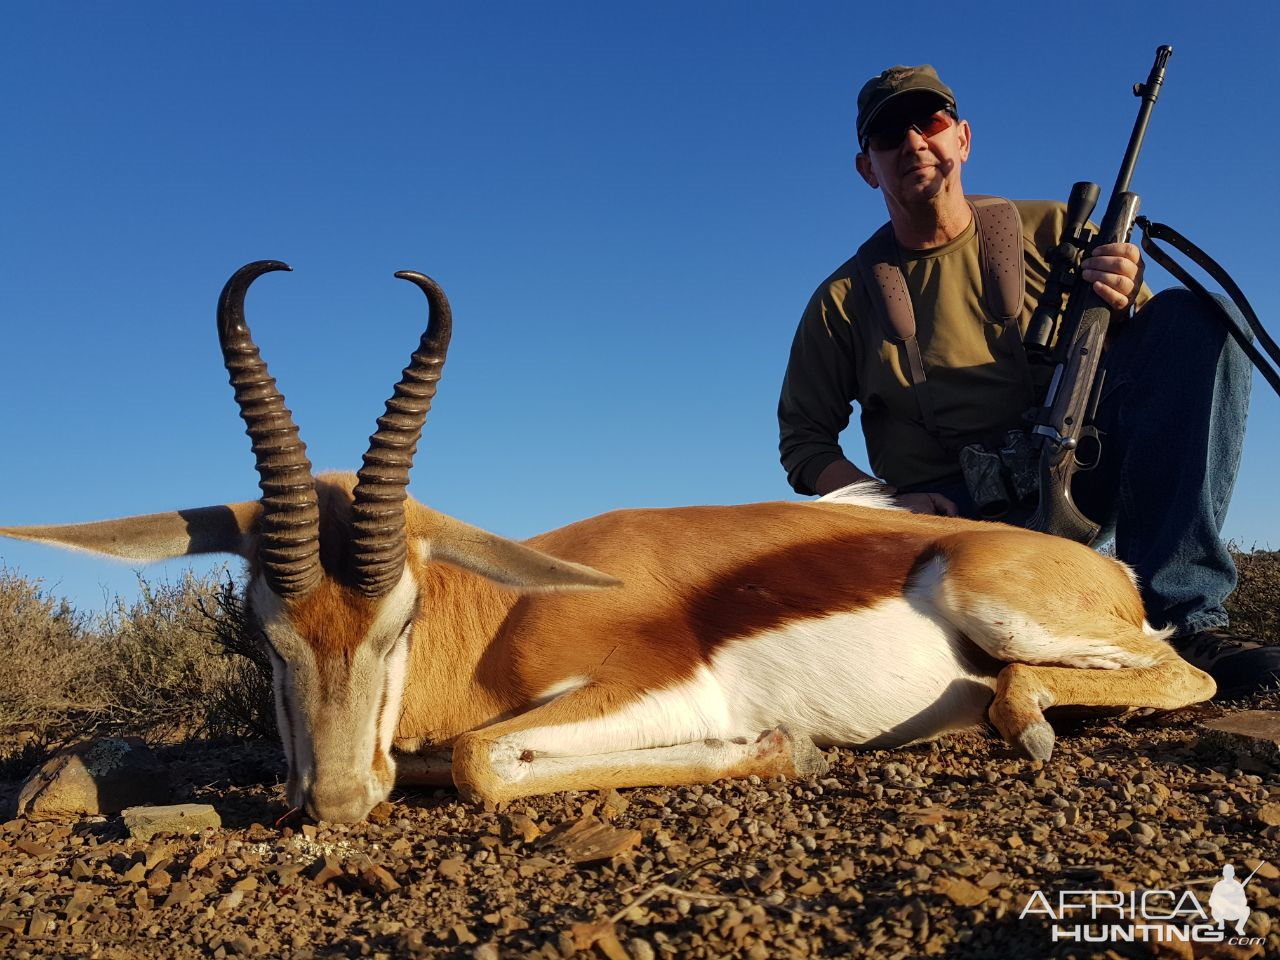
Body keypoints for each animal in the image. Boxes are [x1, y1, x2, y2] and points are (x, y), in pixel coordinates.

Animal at [2, 259, 1218, 824]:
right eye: (261, 631)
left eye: (400, 619)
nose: (336, 803)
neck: (504, 615)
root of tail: (1097, 562)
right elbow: (459, 756)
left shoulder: (650, 686)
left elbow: (481, 759)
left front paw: (782, 749)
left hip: (998, 608)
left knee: (1174, 673)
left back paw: (1021, 720)